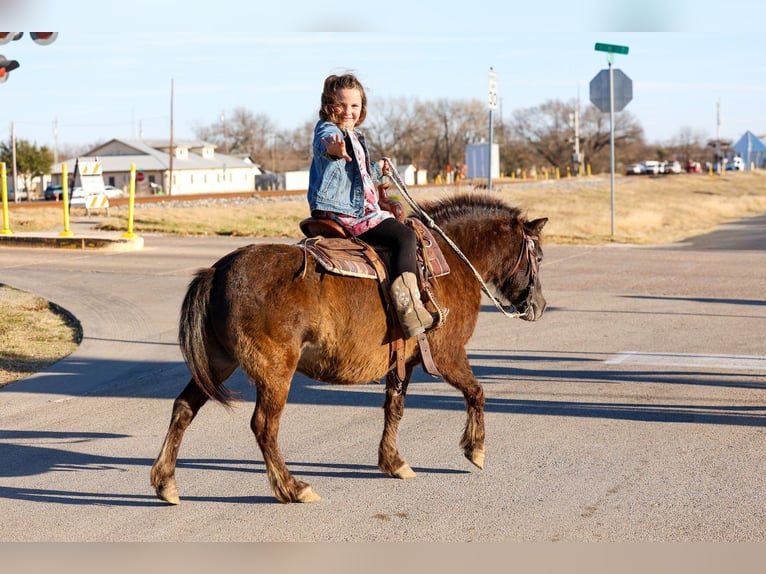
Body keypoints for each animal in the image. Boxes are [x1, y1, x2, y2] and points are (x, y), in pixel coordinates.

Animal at [151, 192, 548, 504]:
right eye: (539, 257)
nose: (540, 306)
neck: (449, 262)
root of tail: (217, 271)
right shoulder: (448, 356)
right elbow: (476, 392)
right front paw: (475, 449)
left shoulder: (403, 362)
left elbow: (394, 408)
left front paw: (393, 462)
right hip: (275, 371)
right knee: (264, 425)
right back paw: (292, 488)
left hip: (218, 362)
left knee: (183, 408)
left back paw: (166, 482)